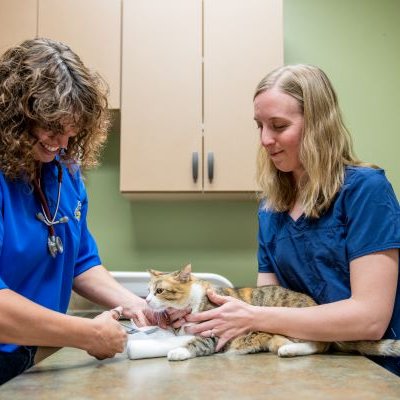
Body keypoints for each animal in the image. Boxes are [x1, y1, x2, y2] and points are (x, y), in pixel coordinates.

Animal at [145, 264, 400, 360]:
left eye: (159, 291)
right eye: (148, 291)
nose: (146, 300)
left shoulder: (215, 331)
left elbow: (196, 343)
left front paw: (178, 351)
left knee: (320, 344)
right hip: (274, 337)